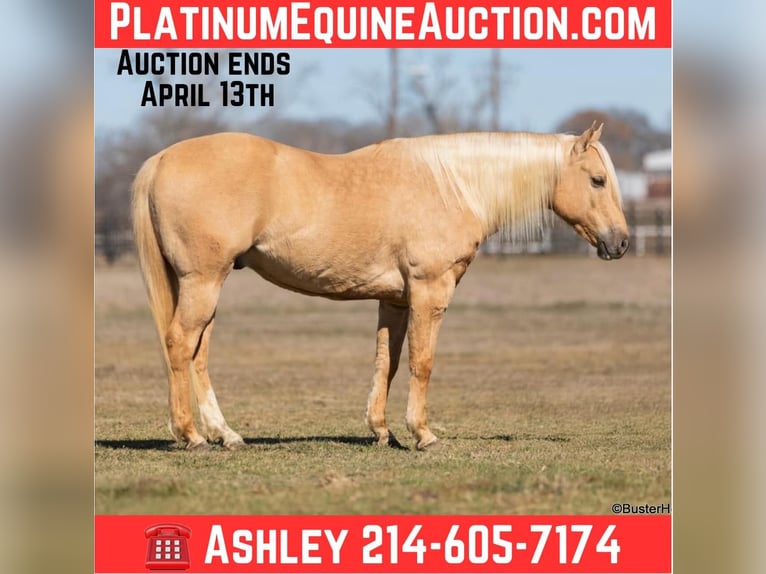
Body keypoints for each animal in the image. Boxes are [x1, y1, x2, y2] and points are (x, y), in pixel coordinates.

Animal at [131, 121, 628, 451]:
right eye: (597, 180)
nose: (620, 242)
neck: (452, 185)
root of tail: (160, 160)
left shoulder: (395, 301)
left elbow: (385, 363)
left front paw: (382, 431)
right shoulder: (430, 291)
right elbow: (421, 363)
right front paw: (422, 434)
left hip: (204, 285)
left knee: (197, 355)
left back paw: (225, 434)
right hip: (203, 282)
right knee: (179, 344)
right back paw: (191, 435)